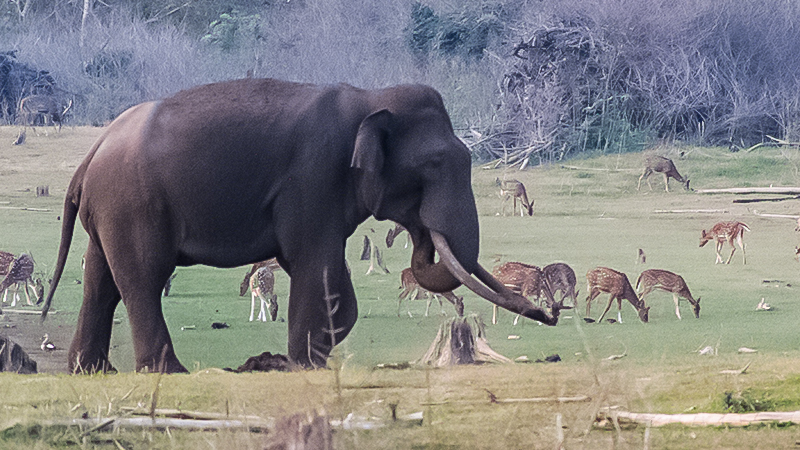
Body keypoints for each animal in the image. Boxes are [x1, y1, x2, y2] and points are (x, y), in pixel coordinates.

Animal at [40, 77, 560, 372]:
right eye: (434, 165)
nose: (549, 315)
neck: (369, 100)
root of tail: (90, 156)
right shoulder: (314, 177)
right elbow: (315, 264)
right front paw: (303, 363)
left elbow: (328, 277)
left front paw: (306, 354)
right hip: (133, 205)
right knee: (142, 279)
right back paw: (169, 373)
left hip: (109, 211)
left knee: (101, 281)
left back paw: (91, 371)